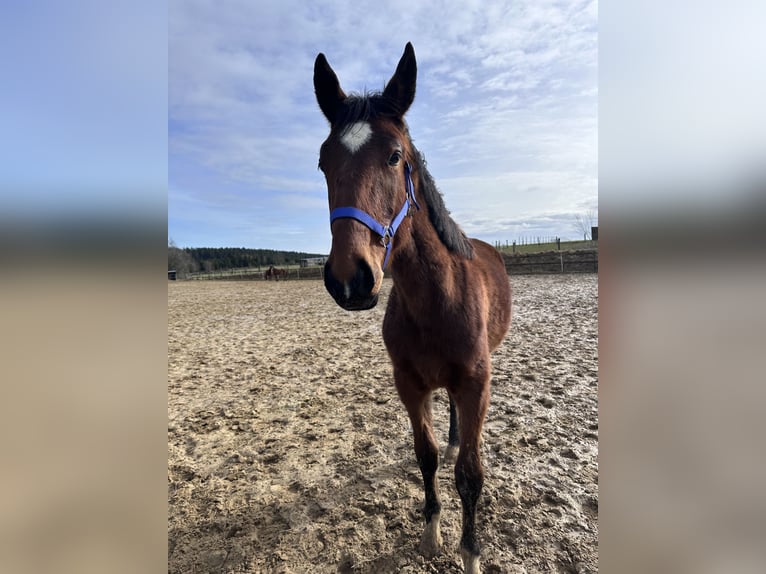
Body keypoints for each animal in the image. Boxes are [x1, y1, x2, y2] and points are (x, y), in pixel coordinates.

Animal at [314, 43, 512, 574]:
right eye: (322, 162)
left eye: (394, 155)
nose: (350, 278)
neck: (435, 300)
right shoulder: (408, 383)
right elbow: (427, 457)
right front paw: (431, 533)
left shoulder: (476, 382)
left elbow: (470, 473)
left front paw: (471, 553)